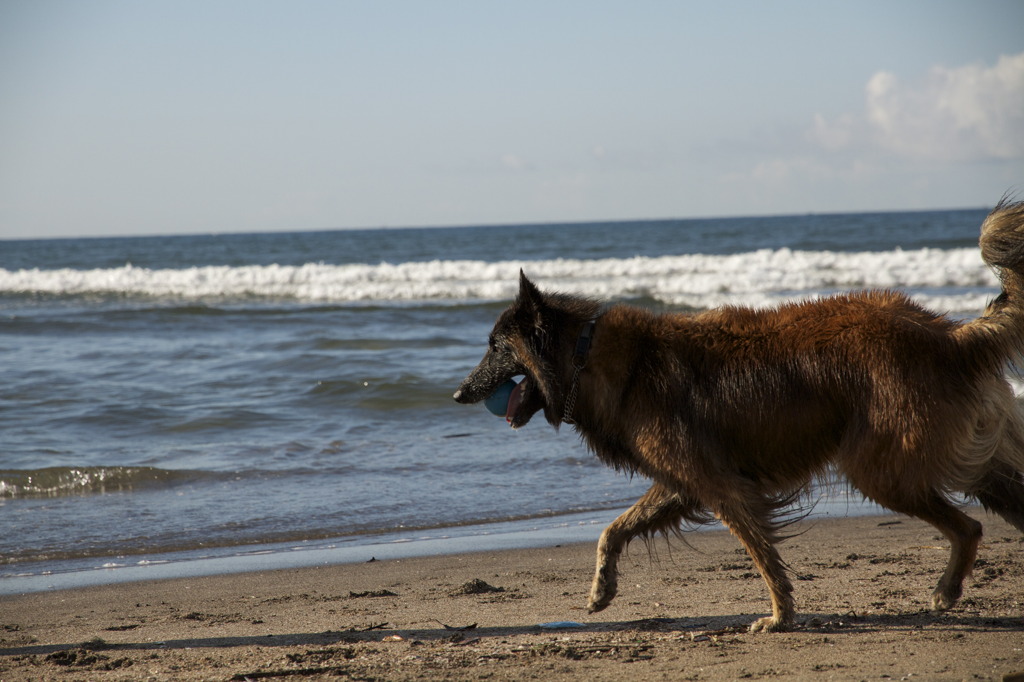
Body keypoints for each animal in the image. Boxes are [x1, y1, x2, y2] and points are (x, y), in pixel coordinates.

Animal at [454, 199, 1024, 630]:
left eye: (494, 347)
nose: (458, 393)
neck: (586, 355)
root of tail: (949, 336)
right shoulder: (683, 481)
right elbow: (613, 529)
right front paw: (601, 590)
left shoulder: (722, 486)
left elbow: (762, 555)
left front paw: (780, 617)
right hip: (954, 458)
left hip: (881, 469)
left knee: (968, 527)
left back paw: (946, 590)